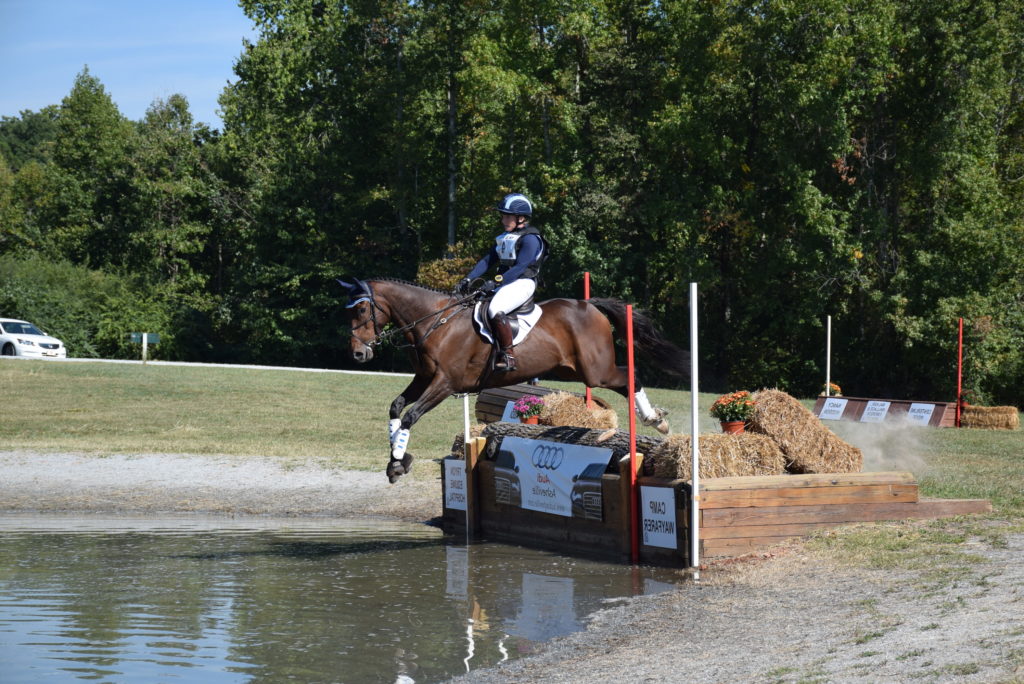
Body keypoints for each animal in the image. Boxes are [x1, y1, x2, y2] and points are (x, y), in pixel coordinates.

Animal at [339, 276, 692, 481]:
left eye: (361, 311)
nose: (358, 354)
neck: (435, 322)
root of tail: (589, 305)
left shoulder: (444, 383)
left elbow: (411, 415)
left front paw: (398, 462)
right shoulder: (424, 378)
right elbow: (396, 408)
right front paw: (397, 459)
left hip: (596, 370)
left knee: (630, 376)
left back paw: (655, 420)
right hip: (574, 369)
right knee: (625, 379)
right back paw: (655, 419)